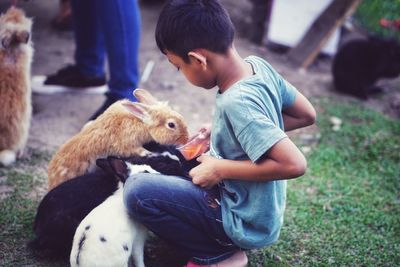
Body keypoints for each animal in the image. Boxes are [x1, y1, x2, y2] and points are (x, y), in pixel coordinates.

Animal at [47, 89, 189, 191]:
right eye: (171, 125)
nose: (186, 138)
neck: (141, 122)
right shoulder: (127, 145)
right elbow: (139, 151)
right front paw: (149, 153)